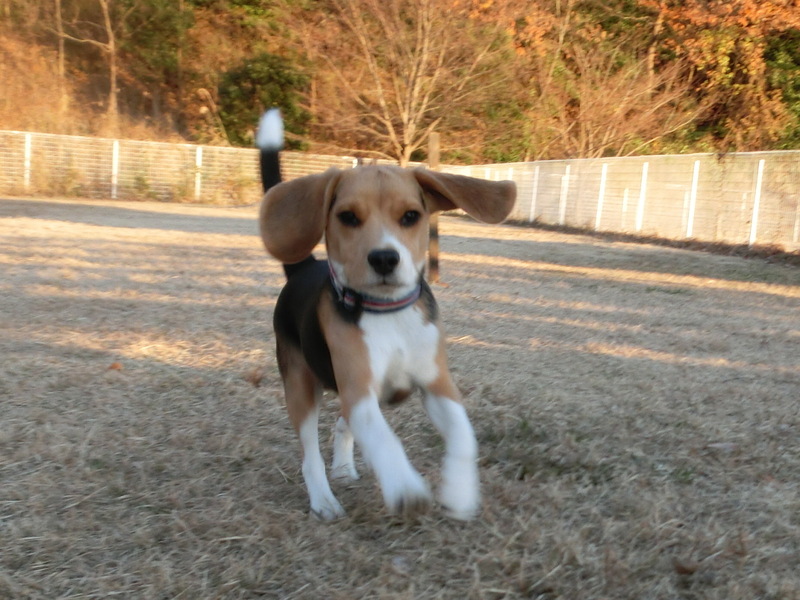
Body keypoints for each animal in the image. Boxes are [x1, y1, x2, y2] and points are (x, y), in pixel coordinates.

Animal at [260, 109, 516, 520]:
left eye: (410, 216)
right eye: (348, 217)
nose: (384, 258)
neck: (388, 314)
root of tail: (304, 267)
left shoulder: (436, 382)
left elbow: (464, 435)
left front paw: (460, 492)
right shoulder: (359, 390)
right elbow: (383, 440)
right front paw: (406, 487)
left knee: (341, 425)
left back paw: (343, 467)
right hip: (300, 384)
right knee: (310, 453)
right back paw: (323, 499)